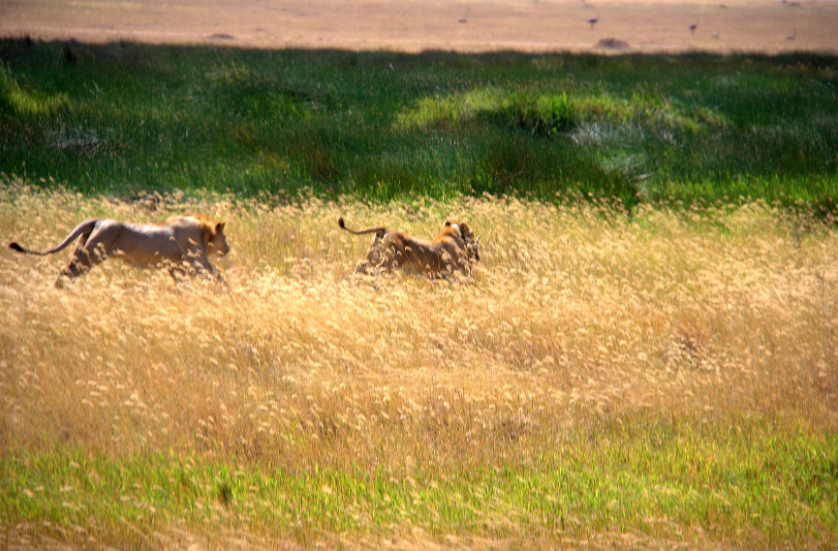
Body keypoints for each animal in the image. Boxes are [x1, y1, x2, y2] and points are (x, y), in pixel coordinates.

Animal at [8, 212, 230, 286]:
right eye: (225, 238)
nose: (228, 249)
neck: (204, 233)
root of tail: (98, 220)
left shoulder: (177, 267)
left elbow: (184, 285)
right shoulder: (198, 262)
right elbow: (219, 276)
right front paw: (226, 293)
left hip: (82, 250)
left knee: (66, 272)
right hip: (90, 256)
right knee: (65, 273)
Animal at [336, 216, 480, 276]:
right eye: (472, 235)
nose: (477, 255)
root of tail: (385, 229)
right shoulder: (457, 269)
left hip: (373, 257)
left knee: (361, 265)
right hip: (391, 261)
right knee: (377, 269)